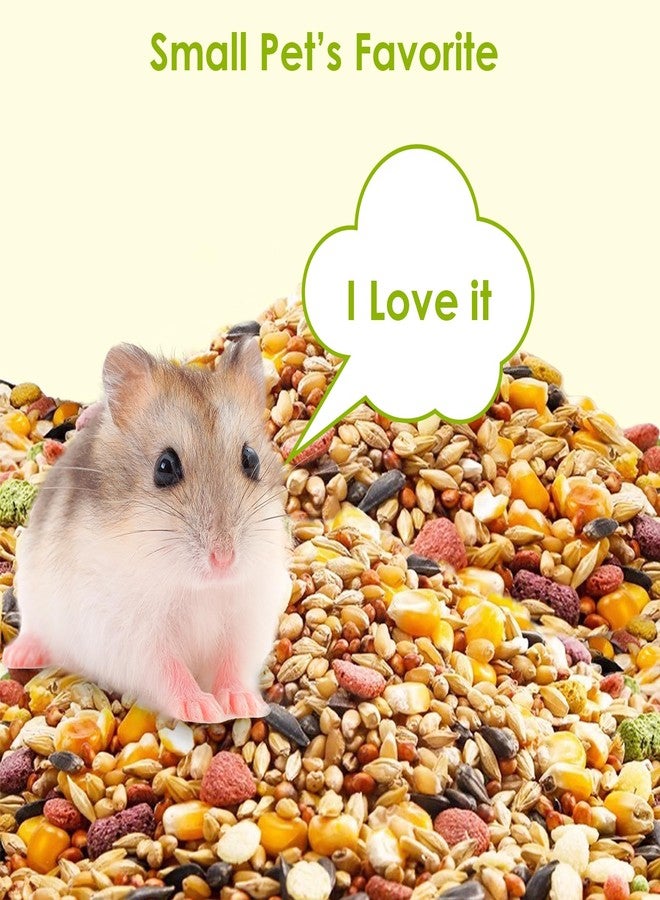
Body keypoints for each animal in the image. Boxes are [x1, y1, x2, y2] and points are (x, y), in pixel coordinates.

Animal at [4, 338, 292, 723]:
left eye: (251, 459)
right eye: (164, 466)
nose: (224, 559)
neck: (198, 588)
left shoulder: (247, 617)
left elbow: (233, 665)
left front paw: (243, 704)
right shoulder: (132, 636)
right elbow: (168, 670)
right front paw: (203, 709)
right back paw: (17, 656)